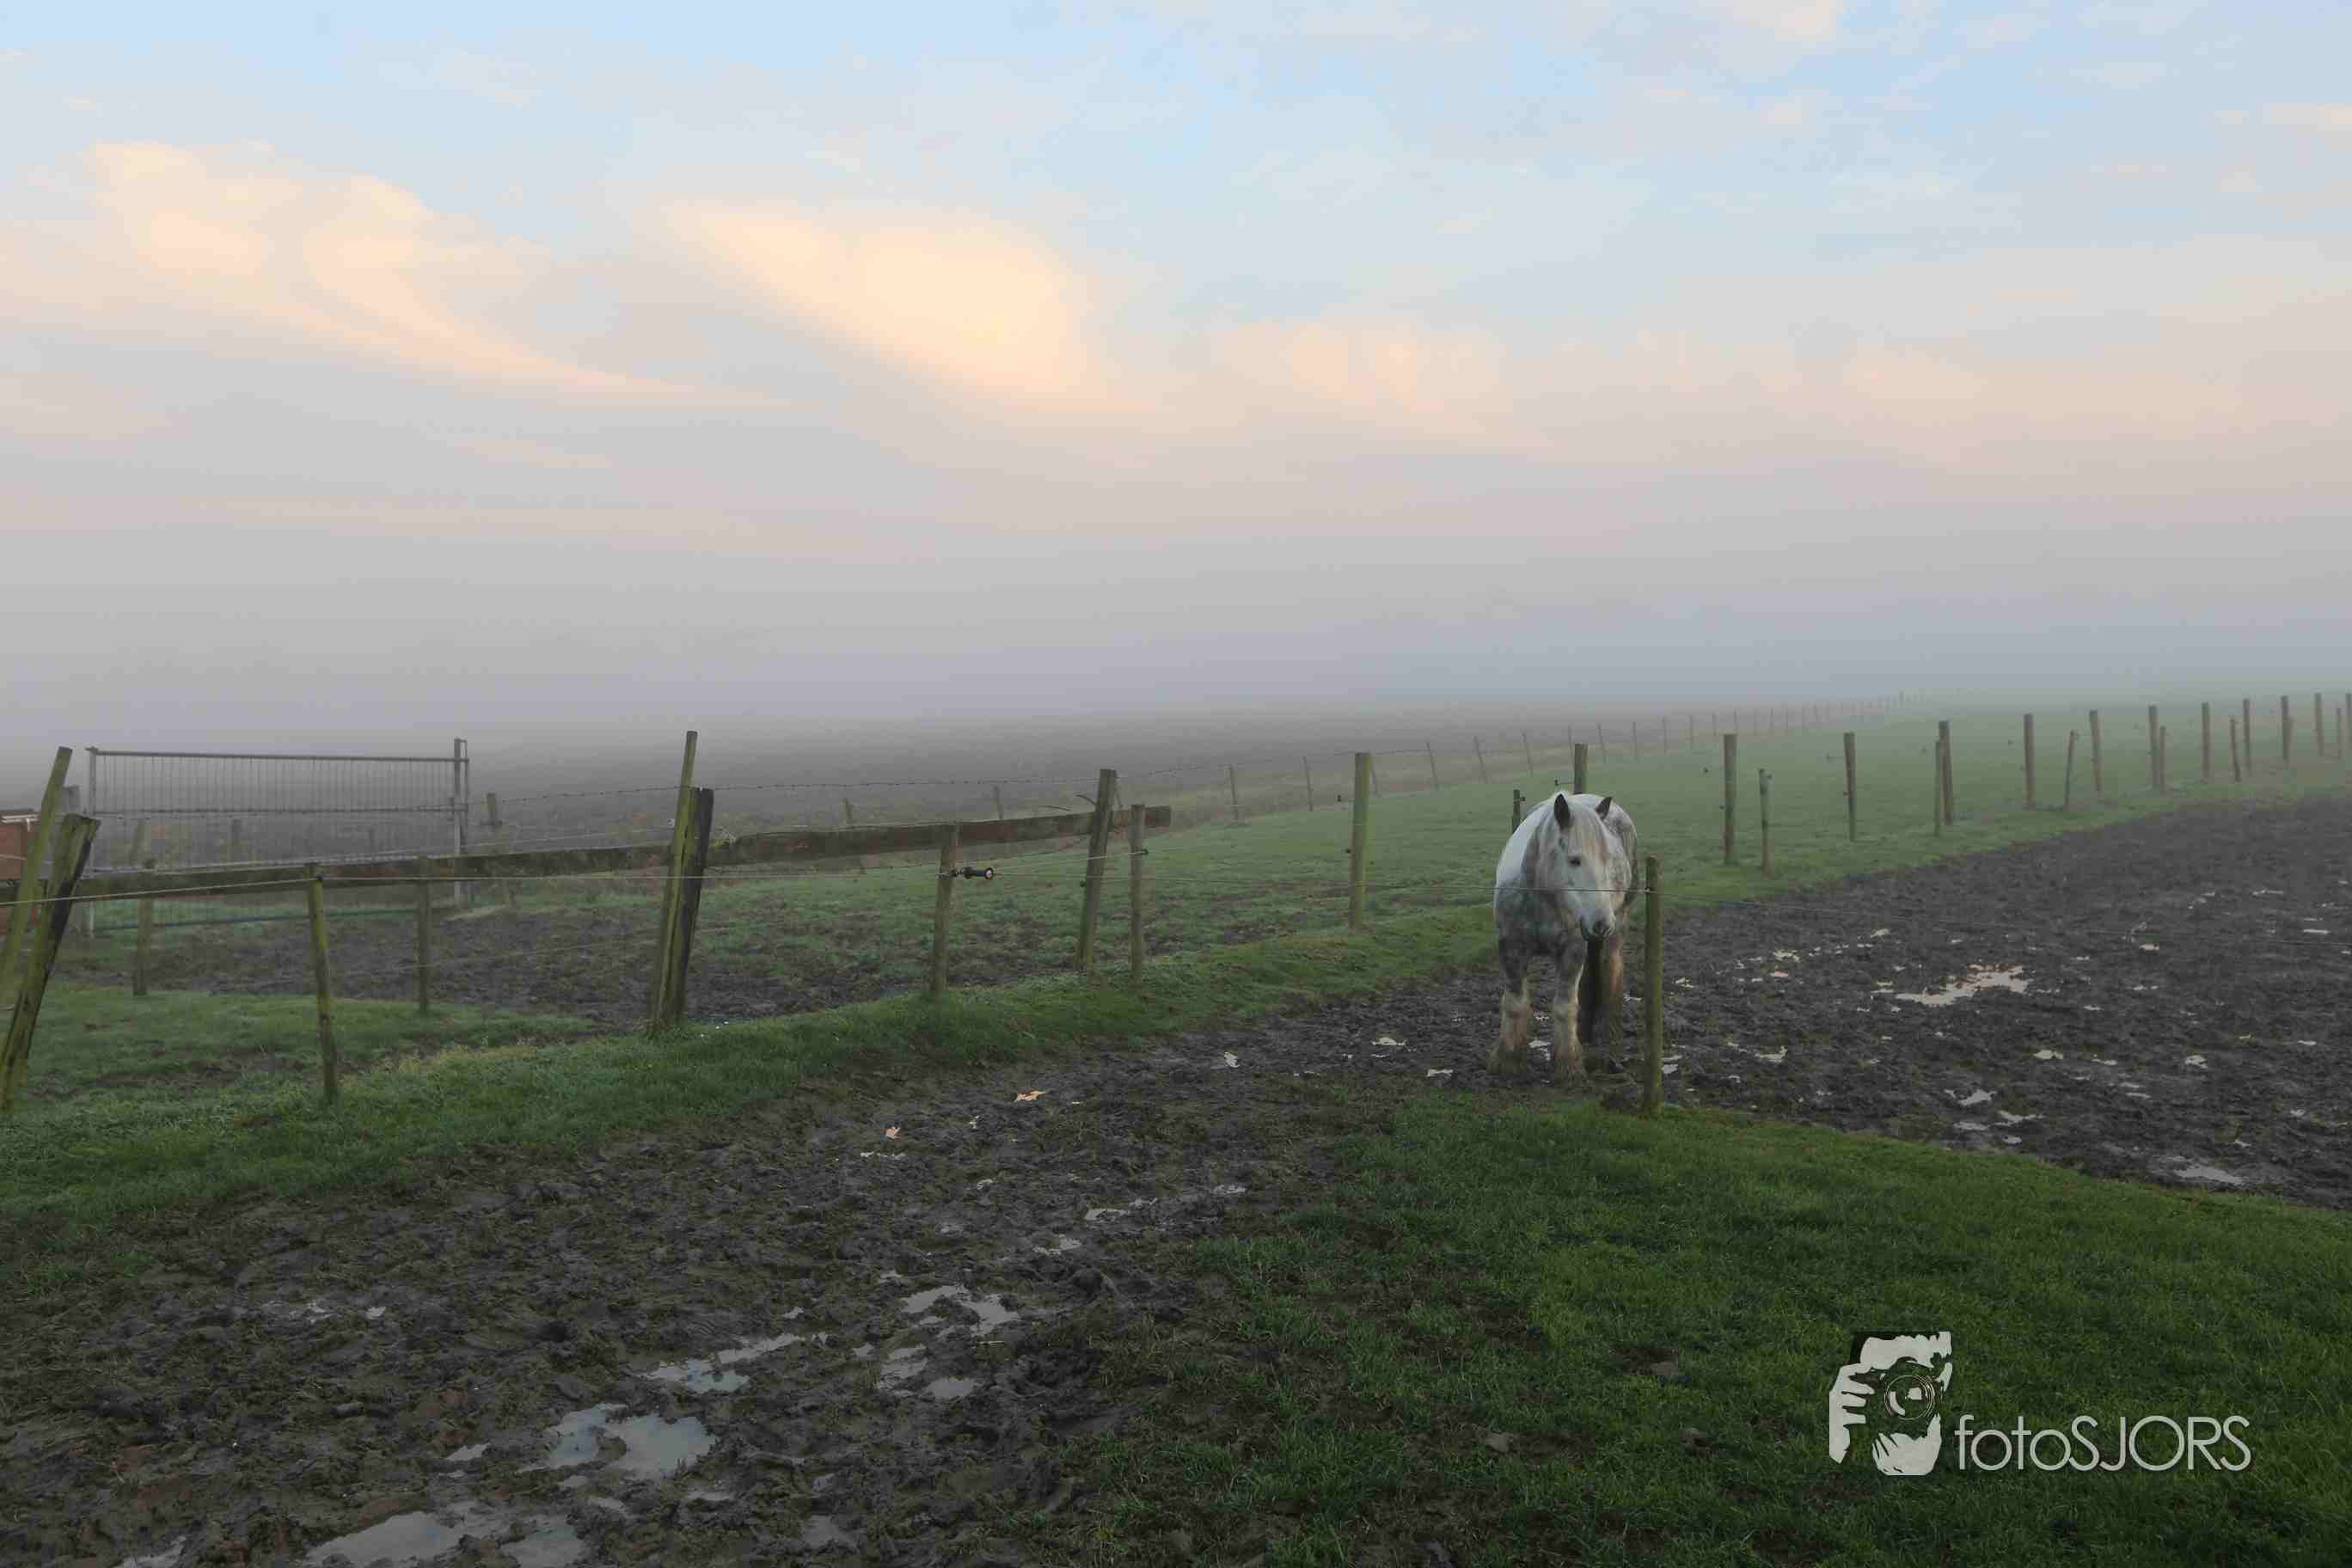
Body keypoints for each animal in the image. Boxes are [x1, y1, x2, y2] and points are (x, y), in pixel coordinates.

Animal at [1491, 791, 1638, 1082]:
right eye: (1574, 860)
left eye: (1607, 860)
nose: (1601, 922)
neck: (1543, 899)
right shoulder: (1511, 949)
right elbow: (1514, 1003)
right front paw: (1509, 1062)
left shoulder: (1572, 951)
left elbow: (1564, 1006)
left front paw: (1568, 1064)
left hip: (1615, 932)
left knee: (1611, 977)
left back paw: (1611, 1045)